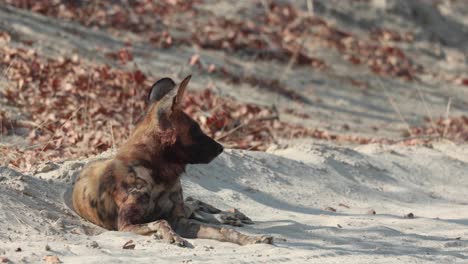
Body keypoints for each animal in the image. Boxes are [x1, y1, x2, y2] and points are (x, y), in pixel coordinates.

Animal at [71, 74, 272, 245]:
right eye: (196, 130)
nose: (221, 148)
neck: (158, 174)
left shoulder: (179, 221)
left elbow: (225, 231)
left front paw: (250, 239)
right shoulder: (126, 225)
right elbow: (160, 222)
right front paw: (172, 236)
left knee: (194, 204)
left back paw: (228, 215)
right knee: (192, 206)